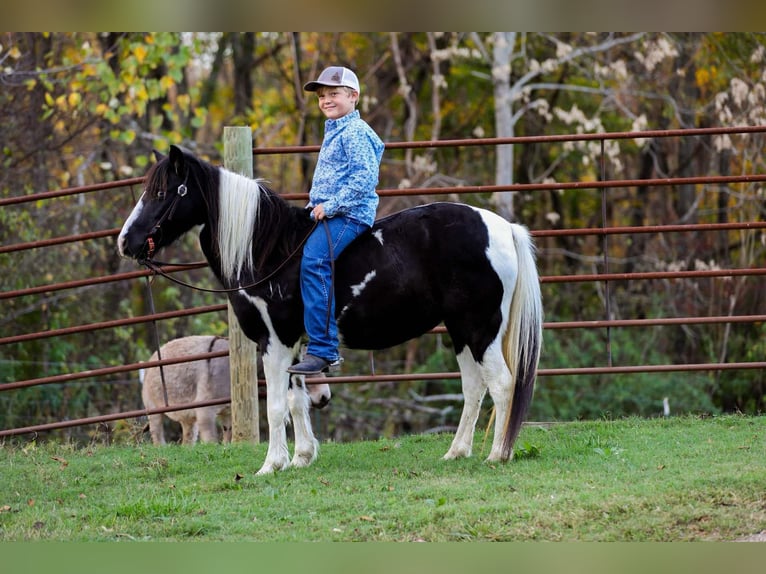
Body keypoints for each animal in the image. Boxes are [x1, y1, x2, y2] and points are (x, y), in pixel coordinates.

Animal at [118, 145, 543, 475]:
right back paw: (456, 452)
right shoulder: (296, 345)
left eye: (163, 191)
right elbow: (297, 399)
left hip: (480, 328)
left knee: (502, 384)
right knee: (473, 387)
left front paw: (270, 465)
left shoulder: (275, 340)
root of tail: (503, 228)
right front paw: (302, 457)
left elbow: (275, 406)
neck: (268, 250)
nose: (126, 242)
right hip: (460, 330)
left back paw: (497, 455)